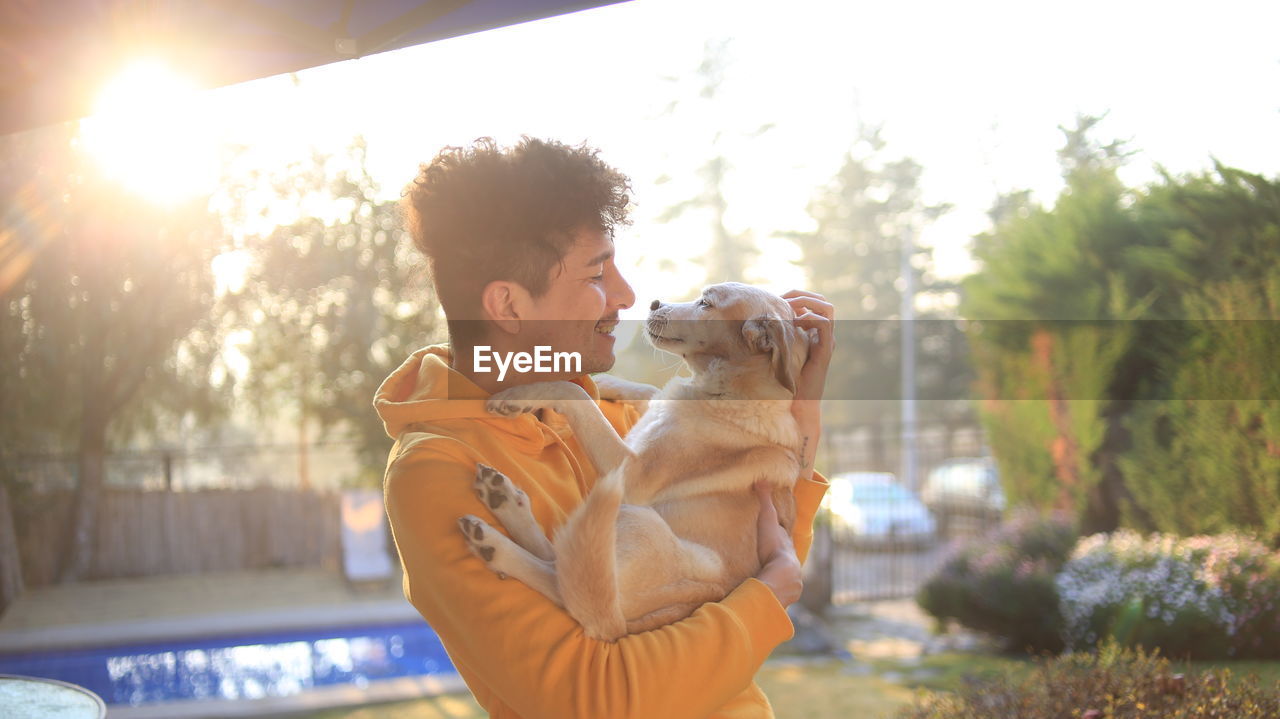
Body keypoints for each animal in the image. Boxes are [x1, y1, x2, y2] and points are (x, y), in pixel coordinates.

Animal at [455, 280, 808, 637]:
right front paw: (606, 383)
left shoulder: (634, 475)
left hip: (635, 517)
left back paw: (495, 543)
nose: (653, 303)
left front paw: (523, 395)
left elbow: (576, 394)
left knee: (561, 579)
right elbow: (648, 391)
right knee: (566, 562)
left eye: (706, 303)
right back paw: (504, 500)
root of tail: (618, 625)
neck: (728, 391)